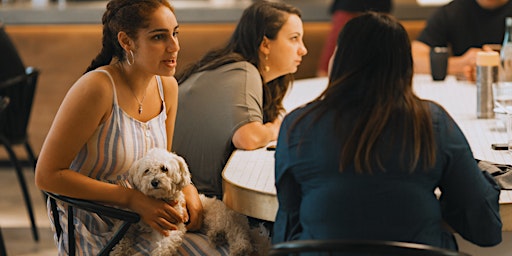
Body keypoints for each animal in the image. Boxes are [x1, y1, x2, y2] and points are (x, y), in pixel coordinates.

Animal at [113, 148, 254, 256]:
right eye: (146, 170)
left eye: (164, 168)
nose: (154, 182)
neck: (158, 200)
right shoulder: (129, 223)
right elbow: (121, 235)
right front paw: (119, 250)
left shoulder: (172, 225)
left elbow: (165, 244)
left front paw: (160, 252)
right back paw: (219, 238)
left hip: (220, 217)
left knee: (239, 235)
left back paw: (237, 248)